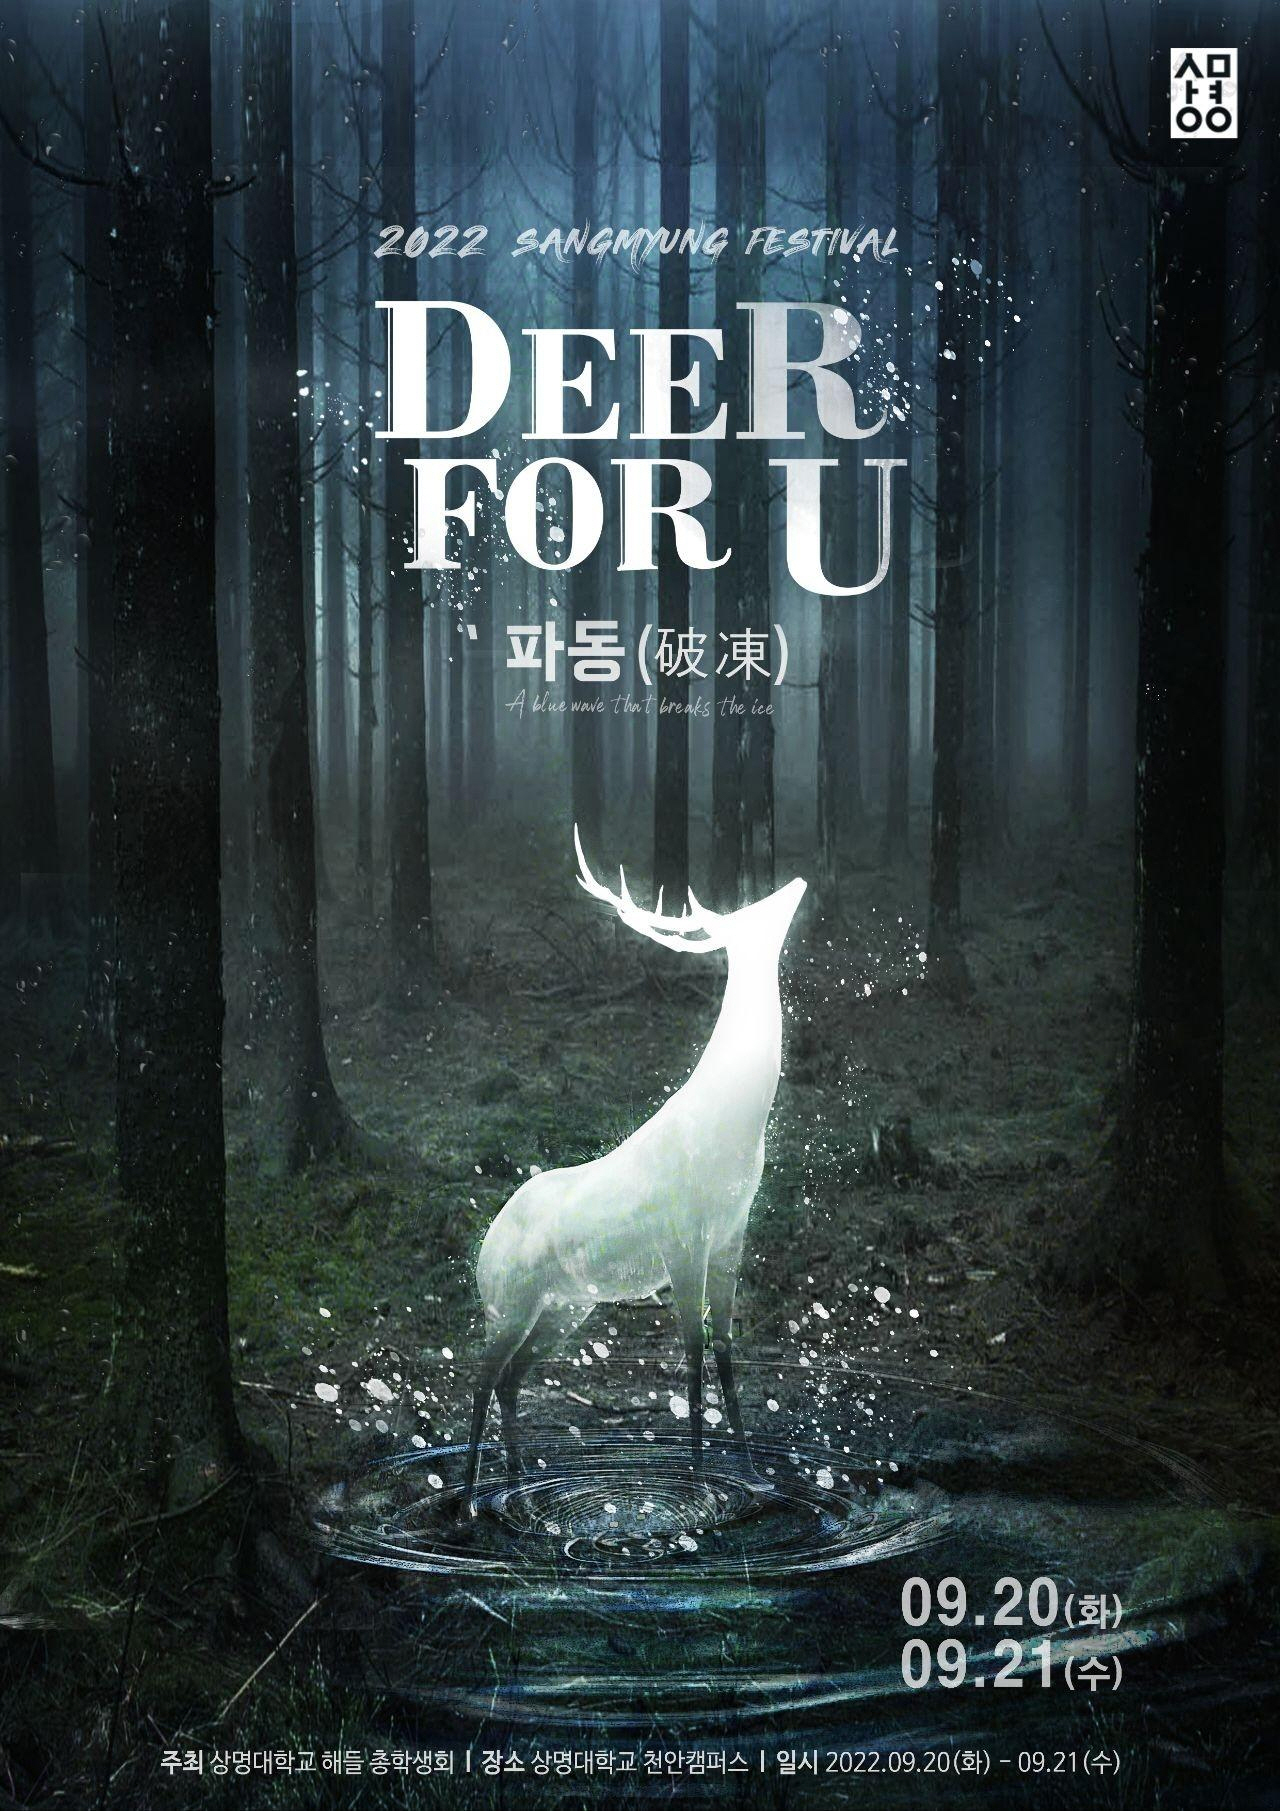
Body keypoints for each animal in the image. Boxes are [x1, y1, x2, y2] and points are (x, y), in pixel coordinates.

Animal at [460, 828, 807, 1511]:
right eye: (755, 914)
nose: (797, 884)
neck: (734, 1125)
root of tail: (484, 1250)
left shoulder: (732, 1230)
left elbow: (728, 1355)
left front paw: (752, 1471)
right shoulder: (683, 1236)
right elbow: (693, 1357)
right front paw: (696, 1483)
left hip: (565, 1308)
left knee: (511, 1380)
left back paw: (517, 1482)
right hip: (509, 1303)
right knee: (482, 1381)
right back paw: (466, 1495)